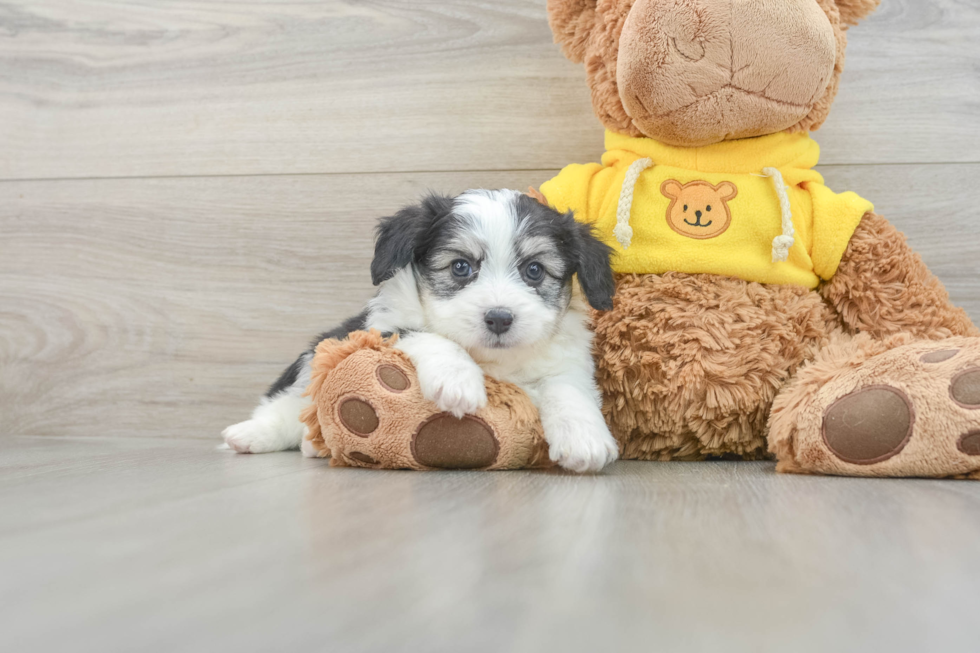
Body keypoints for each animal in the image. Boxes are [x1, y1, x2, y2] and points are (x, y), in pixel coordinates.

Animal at [223, 190, 620, 474]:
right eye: (460, 267)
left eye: (534, 270)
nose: (499, 318)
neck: (491, 360)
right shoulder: (384, 327)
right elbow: (431, 336)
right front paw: (458, 382)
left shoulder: (567, 361)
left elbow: (567, 390)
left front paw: (584, 438)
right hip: (316, 353)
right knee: (287, 404)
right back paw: (252, 435)